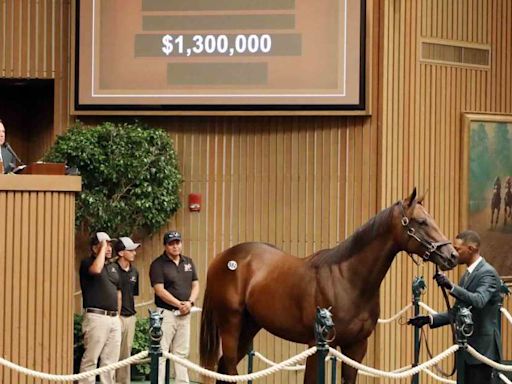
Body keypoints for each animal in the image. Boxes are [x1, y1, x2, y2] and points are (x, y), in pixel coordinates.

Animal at [198, 190, 458, 384]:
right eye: (421, 221)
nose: (452, 255)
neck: (348, 280)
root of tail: (222, 257)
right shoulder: (318, 345)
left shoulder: (356, 346)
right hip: (230, 324)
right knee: (230, 369)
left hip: (250, 326)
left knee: (224, 369)